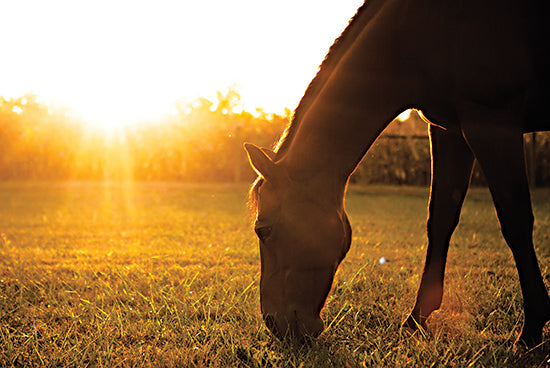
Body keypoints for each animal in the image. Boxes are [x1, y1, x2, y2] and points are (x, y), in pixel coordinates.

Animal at [247, 0, 550, 348]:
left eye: (263, 231)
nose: (274, 324)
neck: (414, 31)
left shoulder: (491, 122)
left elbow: (516, 222)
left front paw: (531, 328)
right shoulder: (450, 131)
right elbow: (441, 220)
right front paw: (417, 318)